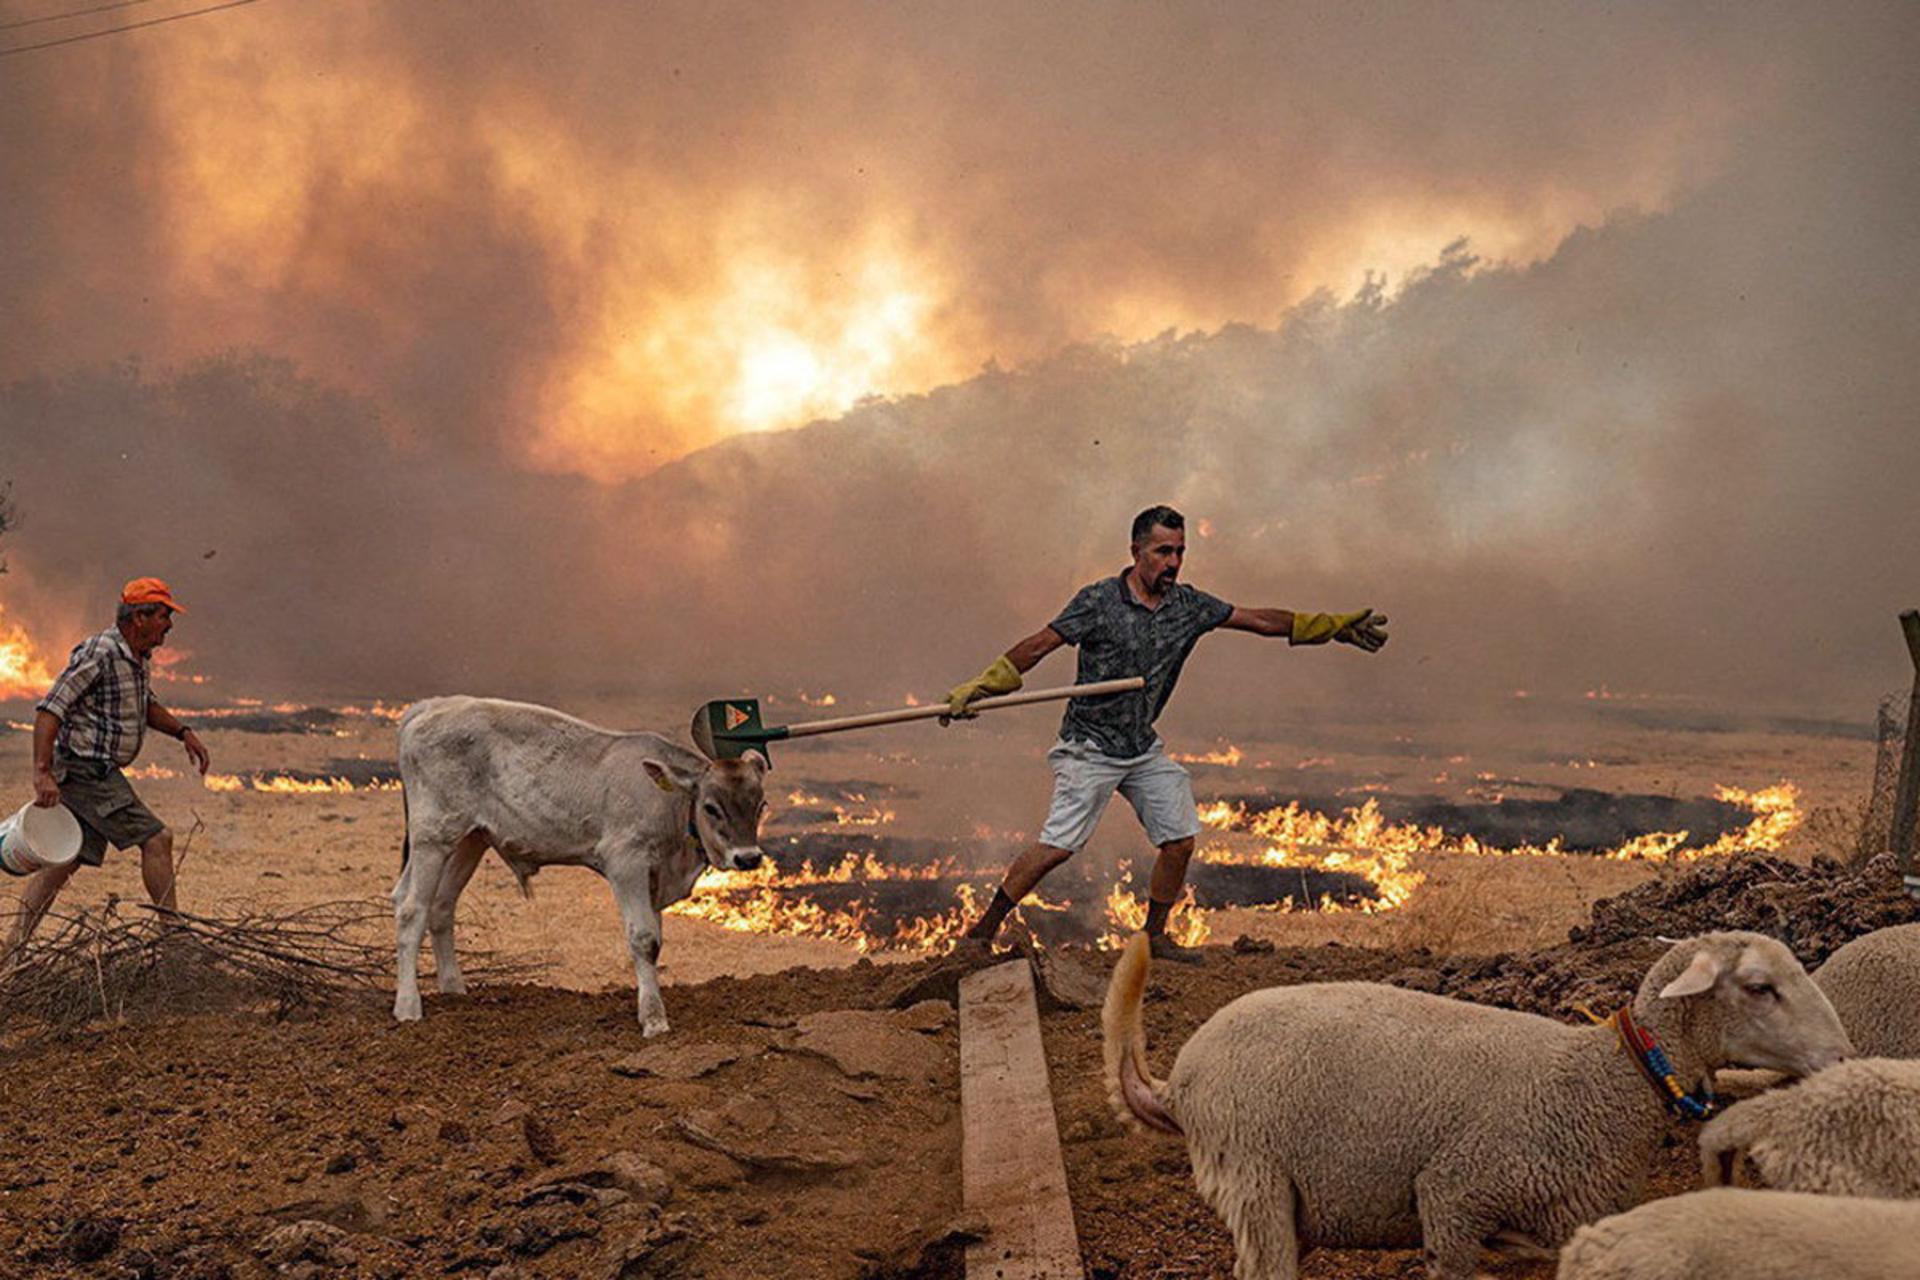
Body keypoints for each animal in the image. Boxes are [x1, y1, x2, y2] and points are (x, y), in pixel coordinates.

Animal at [389, 694, 764, 1036]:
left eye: (760, 805)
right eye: (711, 807)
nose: (748, 857)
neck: (667, 802)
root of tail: (433, 705)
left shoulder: (654, 878)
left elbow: (655, 942)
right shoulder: (626, 864)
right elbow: (643, 939)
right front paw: (654, 1020)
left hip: (469, 840)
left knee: (440, 905)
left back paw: (453, 988)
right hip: (432, 838)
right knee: (411, 909)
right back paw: (408, 1005)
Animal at [1105, 932, 1850, 1280]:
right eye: (1759, 987)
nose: (1842, 1058)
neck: (1604, 1079)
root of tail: (1179, 1081)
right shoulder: (1454, 1197)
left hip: (1284, 1202)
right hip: (1253, 1174)